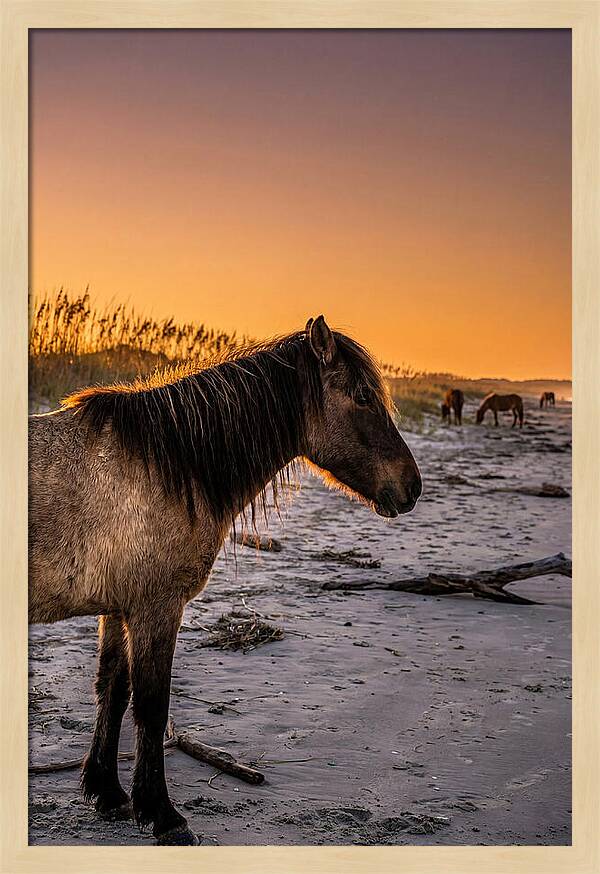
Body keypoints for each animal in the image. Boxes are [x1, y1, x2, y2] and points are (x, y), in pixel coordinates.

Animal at [29, 315, 422, 846]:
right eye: (362, 396)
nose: (412, 487)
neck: (168, 465)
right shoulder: (157, 608)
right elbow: (152, 705)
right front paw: (163, 815)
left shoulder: (119, 607)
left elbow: (113, 688)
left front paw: (108, 793)